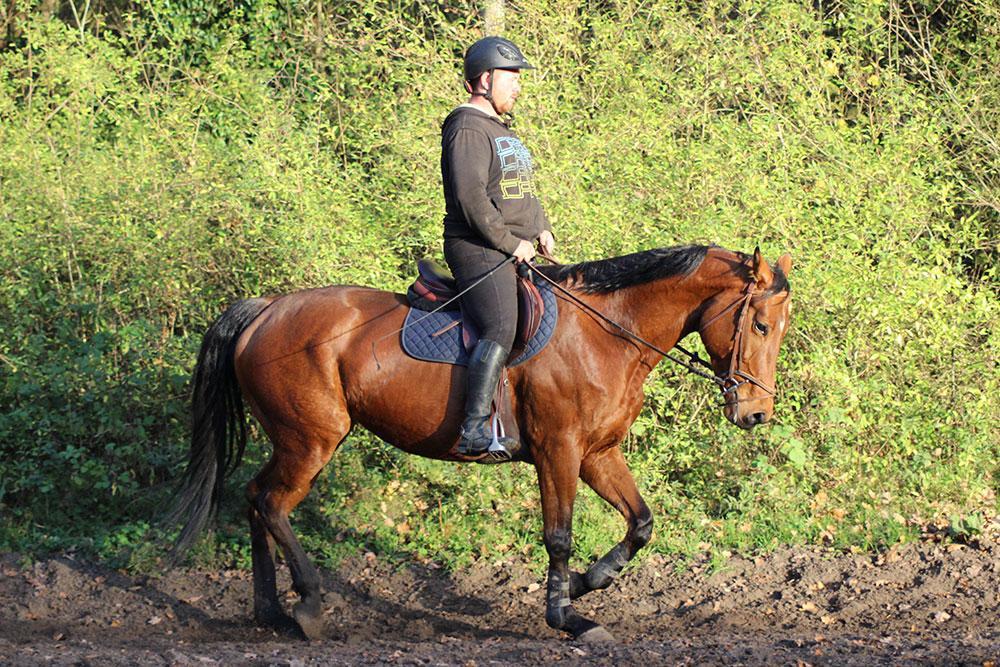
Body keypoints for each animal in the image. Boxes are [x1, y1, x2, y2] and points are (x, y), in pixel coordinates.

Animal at [174, 244, 796, 640]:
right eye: (761, 325)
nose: (757, 413)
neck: (607, 333)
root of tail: (266, 311)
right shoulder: (558, 450)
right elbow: (559, 536)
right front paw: (566, 617)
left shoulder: (598, 453)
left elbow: (640, 524)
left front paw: (587, 584)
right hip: (311, 441)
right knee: (272, 503)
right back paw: (307, 607)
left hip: (294, 441)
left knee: (255, 499)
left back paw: (270, 612)